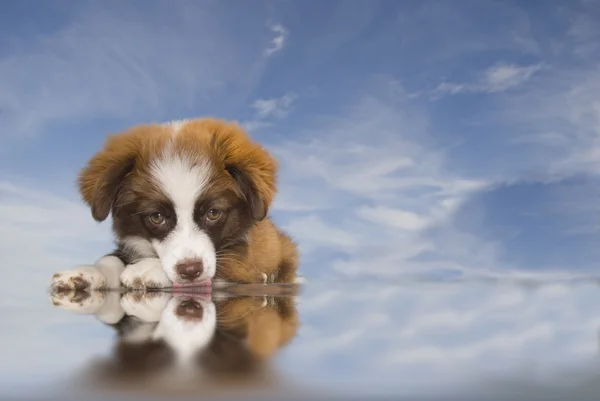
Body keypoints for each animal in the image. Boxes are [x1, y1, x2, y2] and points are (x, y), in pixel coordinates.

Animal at [49, 117, 300, 290]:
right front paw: (85, 272)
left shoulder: (243, 255)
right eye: (156, 216)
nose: (190, 271)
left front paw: (149, 268)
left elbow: (224, 265)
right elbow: (110, 258)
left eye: (213, 213)